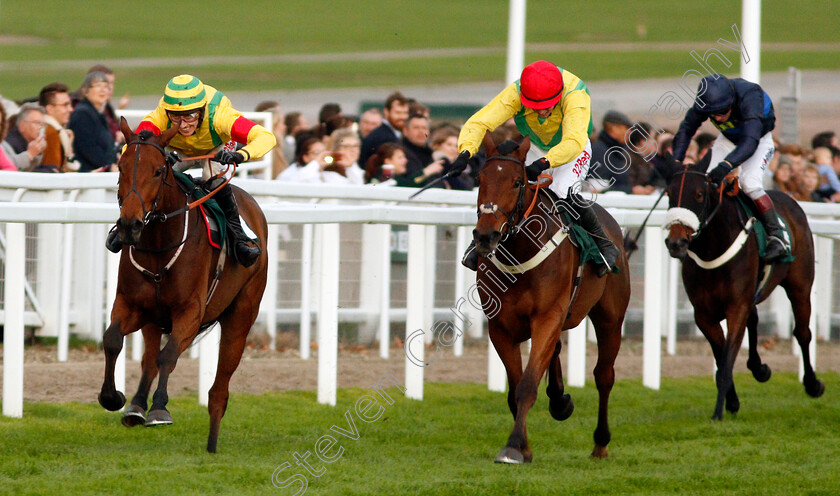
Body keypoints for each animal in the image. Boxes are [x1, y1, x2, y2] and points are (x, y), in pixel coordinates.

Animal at [98, 117, 270, 454]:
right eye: (121, 168)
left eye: (157, 171)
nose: (129, 225)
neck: (158, 246)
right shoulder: (131, 304)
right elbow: (113, 340)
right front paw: (113, 398)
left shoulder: (191, 311)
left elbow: (169, 356)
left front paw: (160, 409)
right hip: (154, 320)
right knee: (149, 360)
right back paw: (136, 406)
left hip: (241, 317)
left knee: (219, 390)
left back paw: (212, 445)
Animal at [472, 134, 632, 464]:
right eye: (480, 178)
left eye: (517, 182)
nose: (485, 236)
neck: (520, 252)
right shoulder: (501, 327)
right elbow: (515, 389)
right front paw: (524, 447)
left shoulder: (547, 316)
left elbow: (527, 385)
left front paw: (513, 447)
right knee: (557, 350)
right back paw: (560, 400)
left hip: (610, 318)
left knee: (604, 376)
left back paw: (601, 442)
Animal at [668, 156, 824, 418]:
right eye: (669, 194)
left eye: (699, 195)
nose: (675, 243)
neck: (713, 247)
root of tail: (790, 198)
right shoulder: (704, 315)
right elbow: (722, 356)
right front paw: (731, 402)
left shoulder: (736, 306)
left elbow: (726, 359)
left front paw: (718, 413)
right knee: (755, 319)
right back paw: (759, 368)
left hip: (800, 287)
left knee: (803, 333)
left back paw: (812, 384)